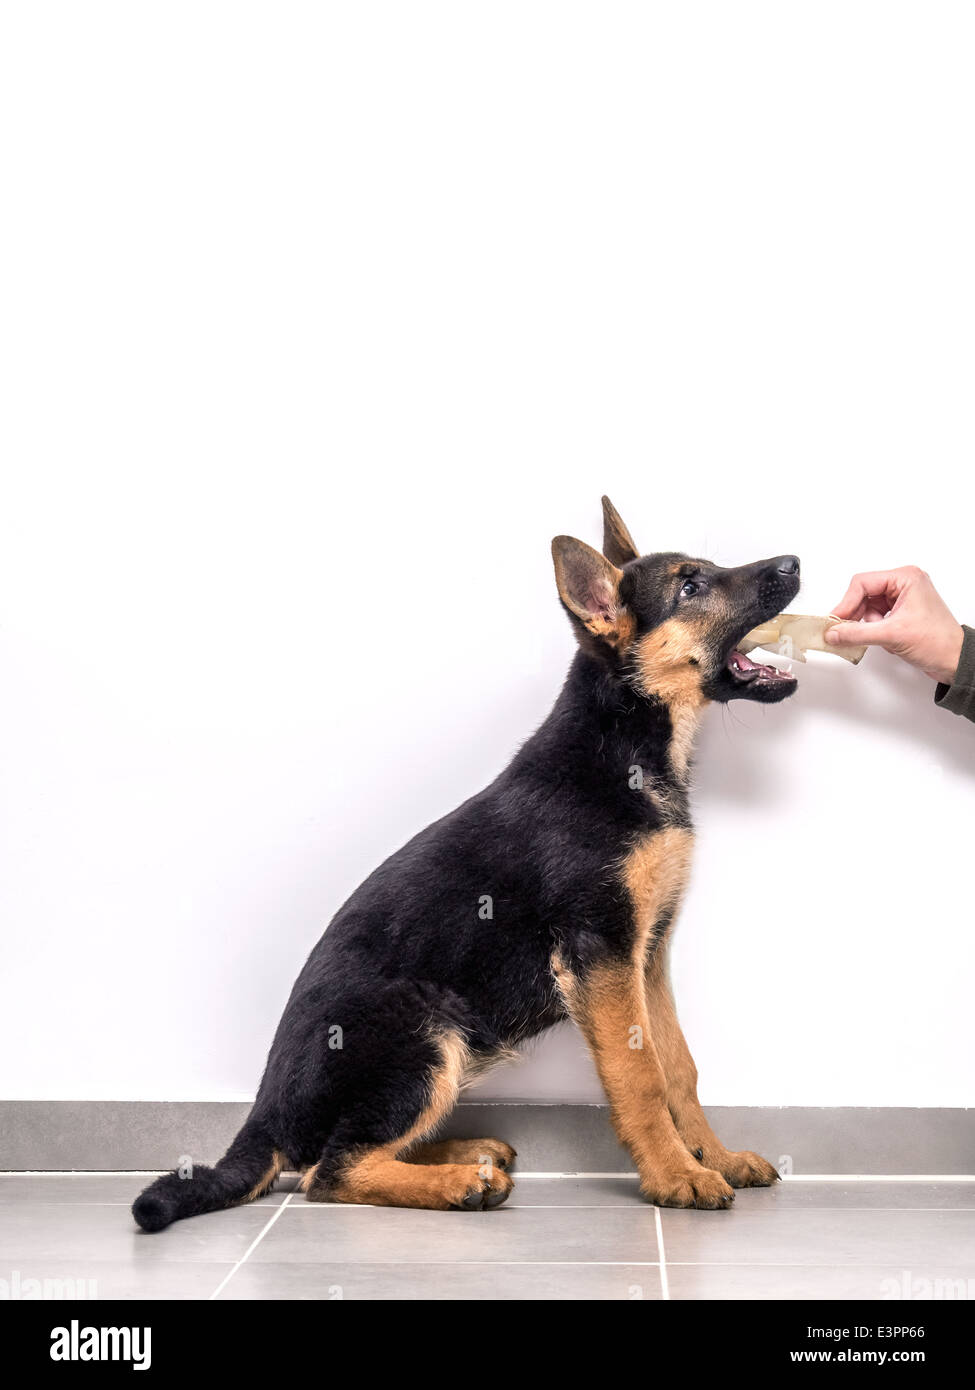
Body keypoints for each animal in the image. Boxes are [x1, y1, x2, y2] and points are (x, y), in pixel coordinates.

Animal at [131, 497, 801, 1228]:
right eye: (689, 587)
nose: (794, 563)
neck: (627, 742)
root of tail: (263, 1115)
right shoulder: (601, 954)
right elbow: (642, 1075)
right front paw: (675, 1175)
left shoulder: (645, 956)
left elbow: (679, 1067)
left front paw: (715, 1157)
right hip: (424, 1029)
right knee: (328, 1171)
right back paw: (459, 1183)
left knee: (348, 1152)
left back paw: (469, 1153)